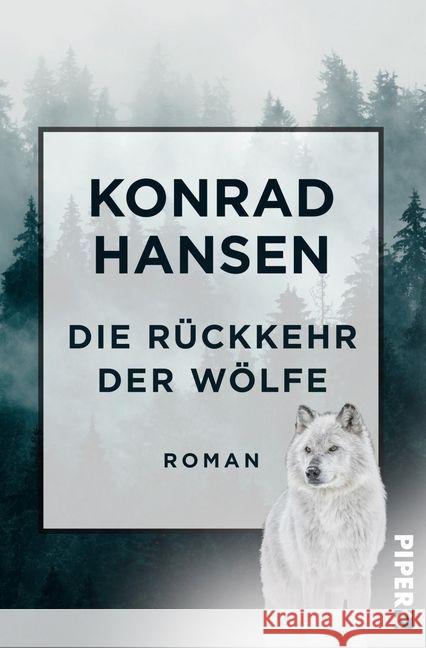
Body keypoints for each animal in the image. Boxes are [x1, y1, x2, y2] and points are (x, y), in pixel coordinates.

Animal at [260, 404, 386, 608]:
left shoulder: (358, 576)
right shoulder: (313, 576)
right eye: (308, 449)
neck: (331, 508)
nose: (311, 471)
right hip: (286, 593)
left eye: (333, 448)